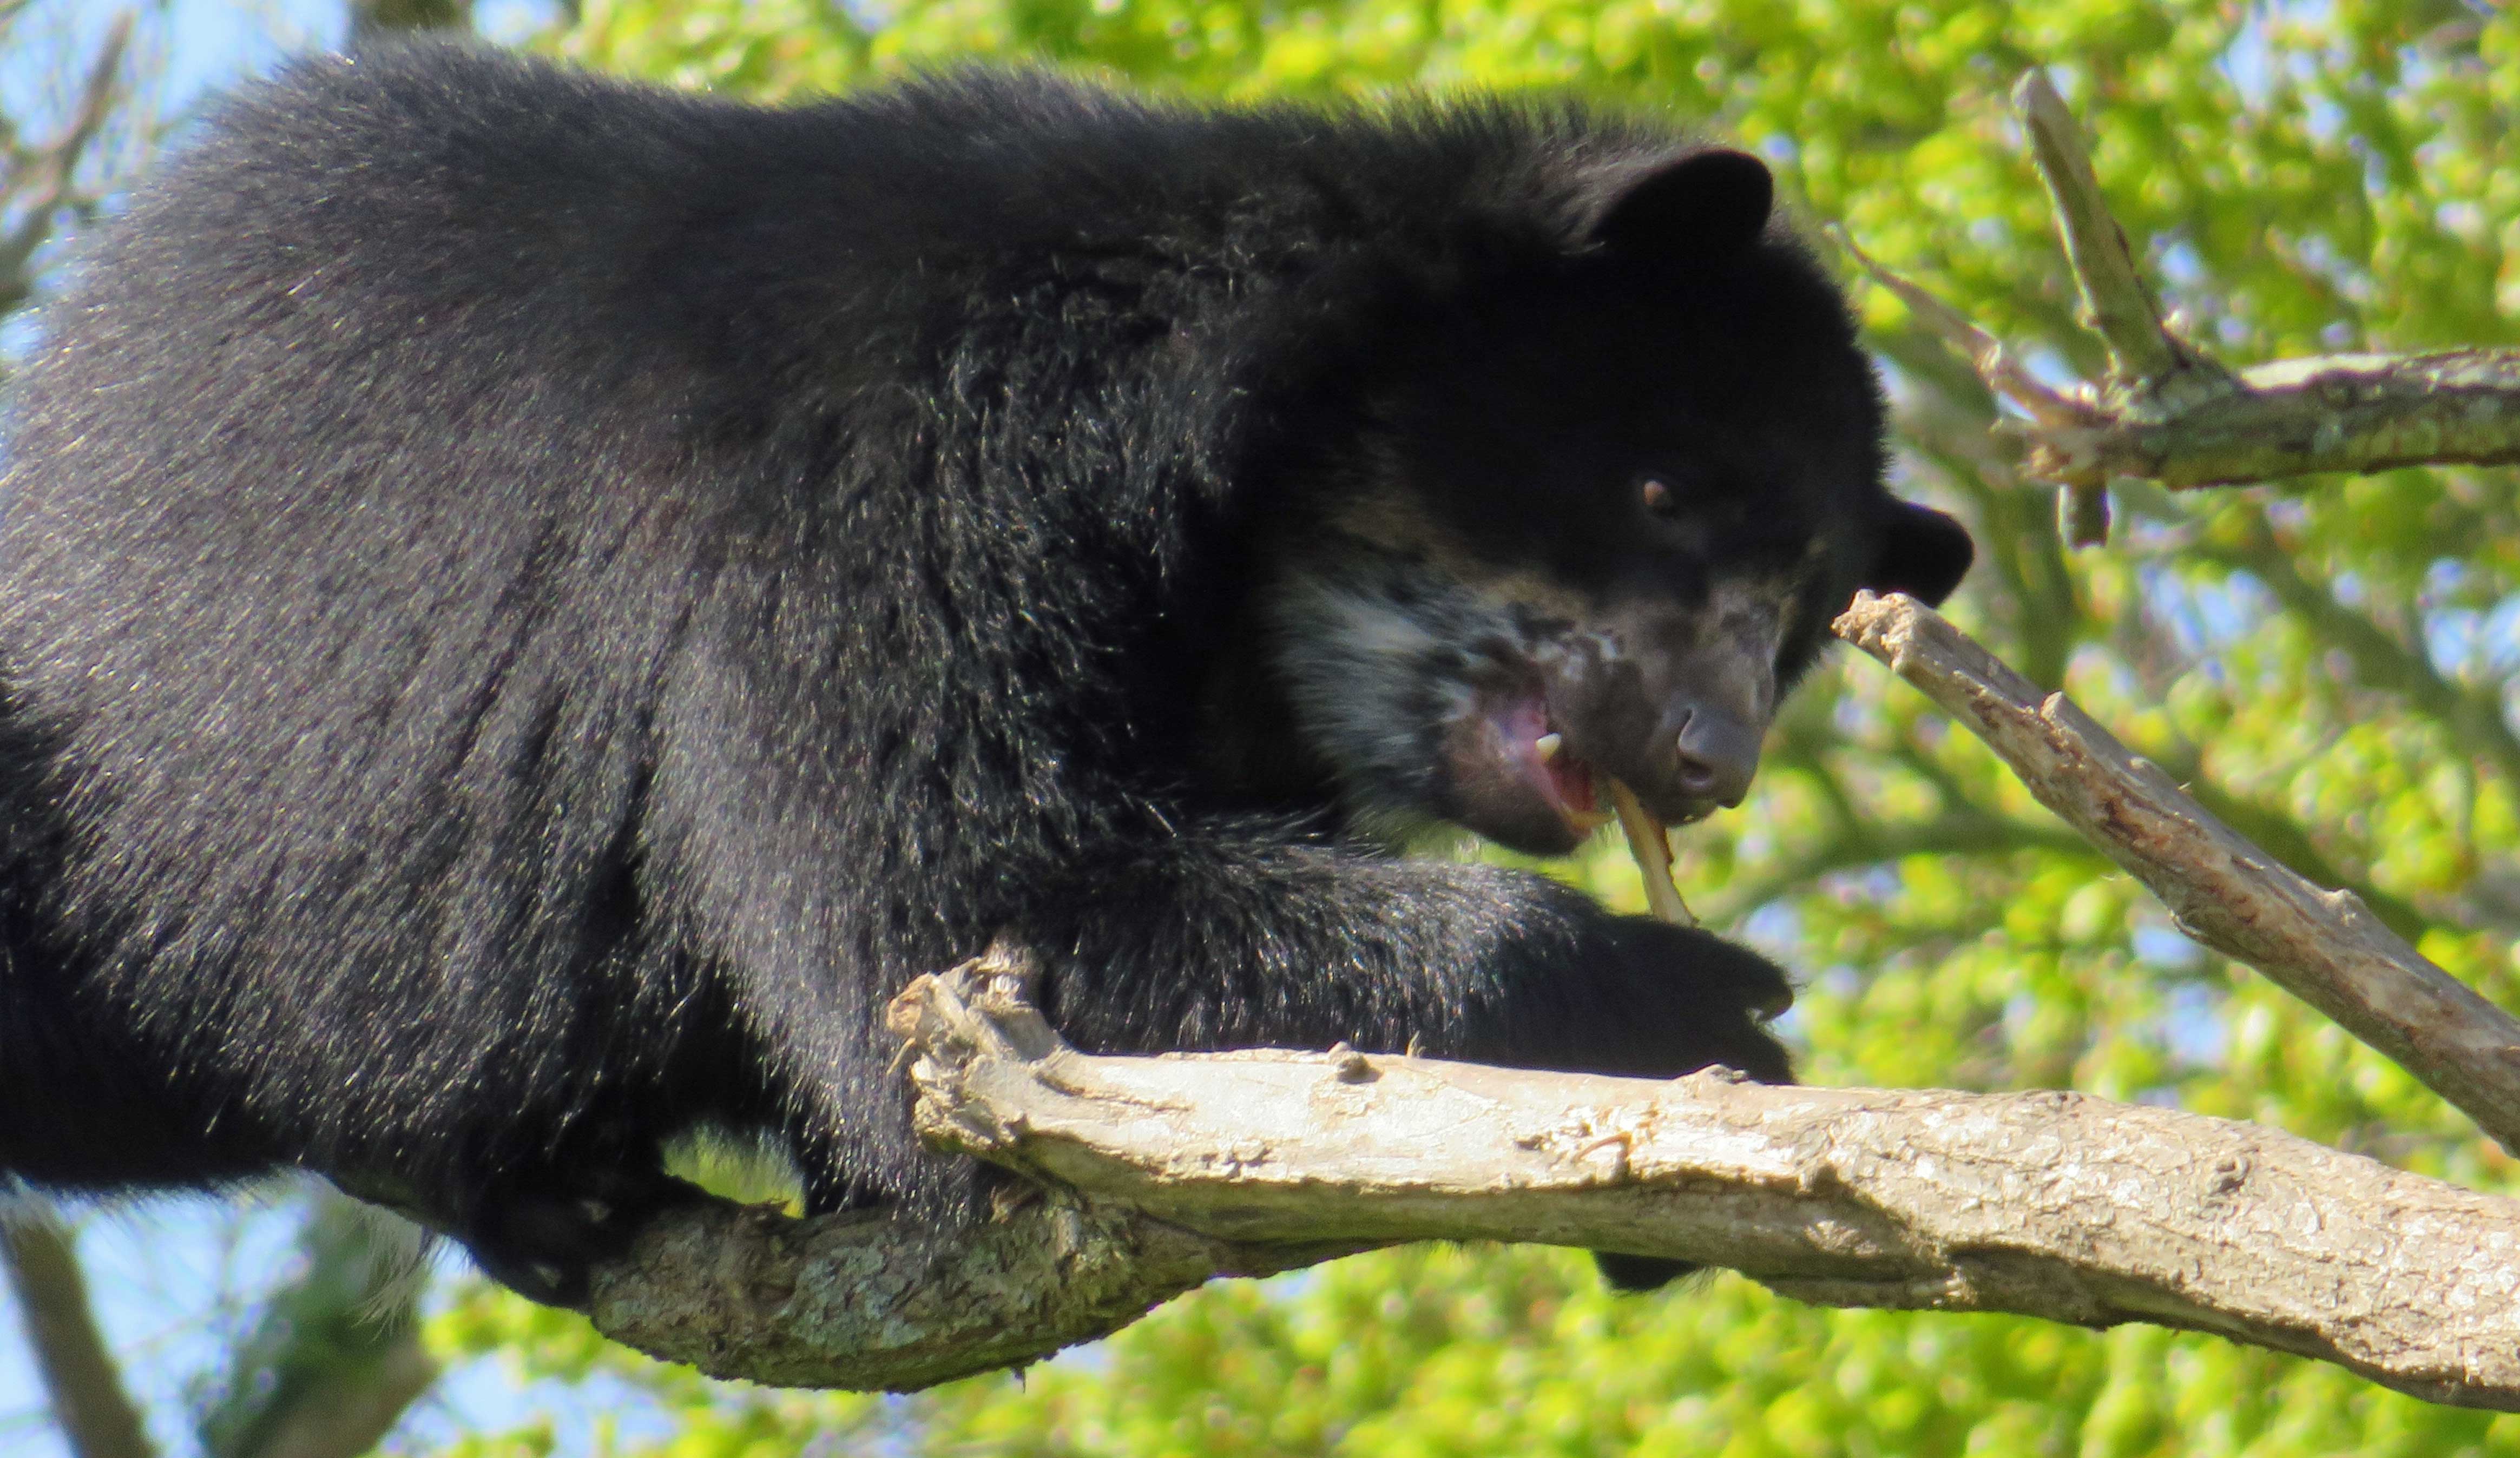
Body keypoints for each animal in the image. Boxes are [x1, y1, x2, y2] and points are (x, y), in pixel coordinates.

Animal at [0, 45, 1965, 1309]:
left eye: (1794, 616)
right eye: (1665, 492)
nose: (1707, 755)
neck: (1245, 571)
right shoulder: (868, 491)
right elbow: (940, 901)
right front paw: (1681, 1012)